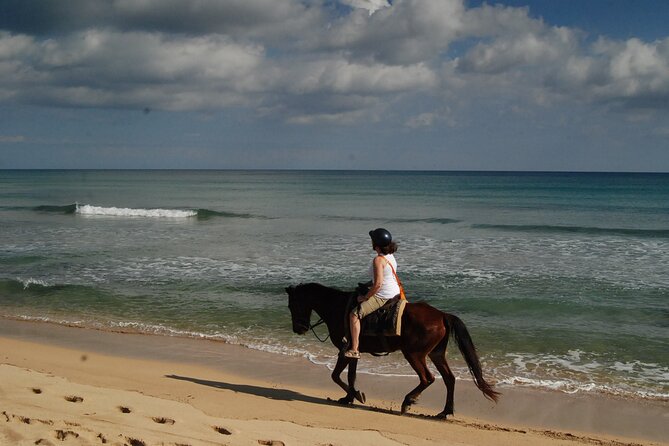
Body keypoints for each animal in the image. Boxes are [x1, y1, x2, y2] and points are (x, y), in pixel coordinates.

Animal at [284, 282, 498, 418]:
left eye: (291, 305)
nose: (298, 329)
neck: (338, 307)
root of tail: (442, 315)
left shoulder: (344, 350)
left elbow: (336, 376)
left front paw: (355, 396)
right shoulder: (353, 351)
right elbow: (350, 376)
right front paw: (349, 397)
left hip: (414, 354)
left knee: (427, 378)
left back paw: (408, 401)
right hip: (436, 354)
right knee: (449, 379)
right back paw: (445, 412)